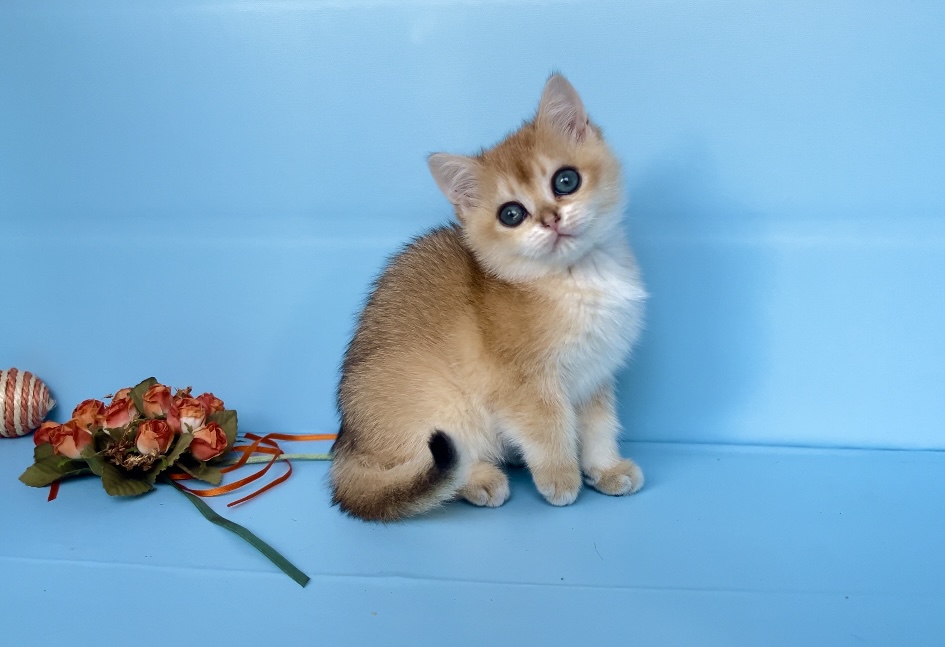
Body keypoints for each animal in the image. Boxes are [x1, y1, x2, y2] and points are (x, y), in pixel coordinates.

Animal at [331, 73, 647, 521]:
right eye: (511, 214)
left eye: (565, 180)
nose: (551, 219)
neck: (577, 280)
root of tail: (347, 447)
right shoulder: (524, 387)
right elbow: (549, 431)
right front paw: (561, 479)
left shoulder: (594, 378)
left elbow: (600, 427)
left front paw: (605, 469)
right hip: (444, 408)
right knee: (431, 466)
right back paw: (480, 480)